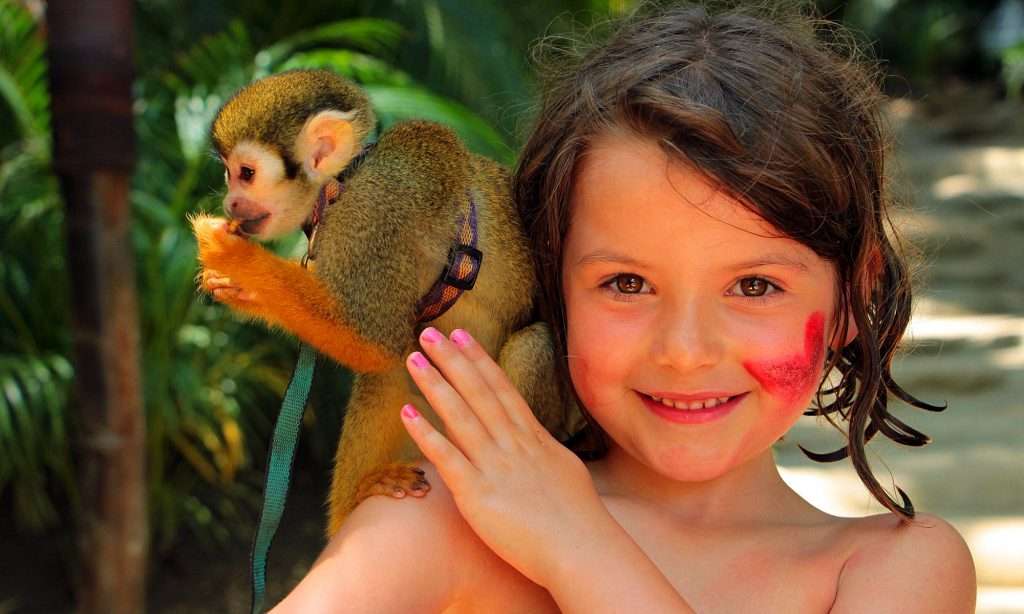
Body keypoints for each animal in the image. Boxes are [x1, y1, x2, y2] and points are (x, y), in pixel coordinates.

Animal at [191, 69, 580, 537]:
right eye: (228, 173)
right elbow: (379, 352)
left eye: (245, 173)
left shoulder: (375, 219)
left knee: (528, 345)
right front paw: (236, 284)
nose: (230, 201)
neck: (345, 181)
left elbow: (370, 341)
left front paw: (237, 259)